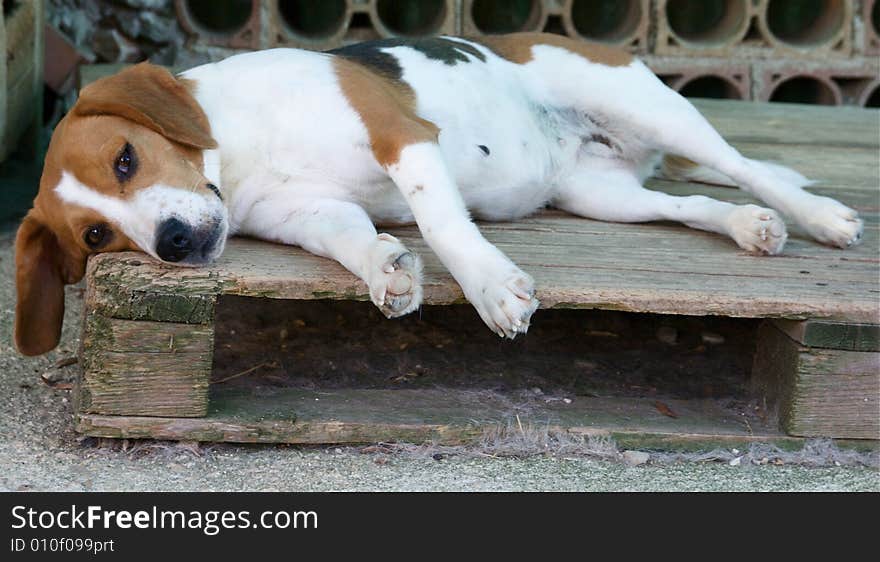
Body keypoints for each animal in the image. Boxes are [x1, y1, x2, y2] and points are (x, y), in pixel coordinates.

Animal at [15, 32, 868, 352]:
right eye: (95, 236)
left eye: (127, 159)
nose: (175, 245)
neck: (238, 147)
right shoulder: (313, 212)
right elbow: (356, 240)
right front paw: (388, 272)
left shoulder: (402, 136)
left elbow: (445, 224)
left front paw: (489, 288)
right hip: (600, 195)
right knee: (686, 206)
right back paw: (749, 226)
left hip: (650, 106)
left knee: (743, 164)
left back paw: (819, 216)